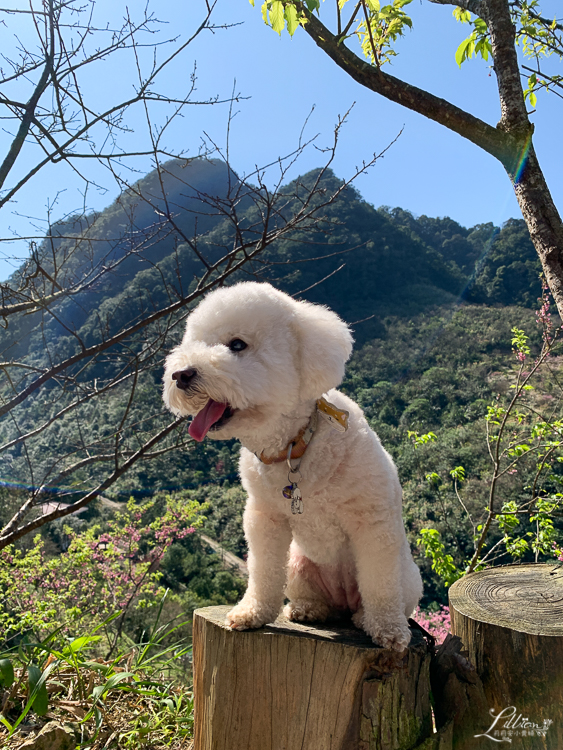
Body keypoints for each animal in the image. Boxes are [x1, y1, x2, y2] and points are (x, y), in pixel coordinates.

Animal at [163, 282, 424, 652]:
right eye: (193, 342)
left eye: (237, 344)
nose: (180, 375)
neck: (293, 446)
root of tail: (343, 598)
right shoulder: (264, 518)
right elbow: (262, 570)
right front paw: (252, 612)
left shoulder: (372, 523)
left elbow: (380, 583)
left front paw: (389, 630)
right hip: (299, 566)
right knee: (315, 598)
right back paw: (307, 609)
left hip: (407, 576)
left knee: (380, 593)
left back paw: (365, 618)